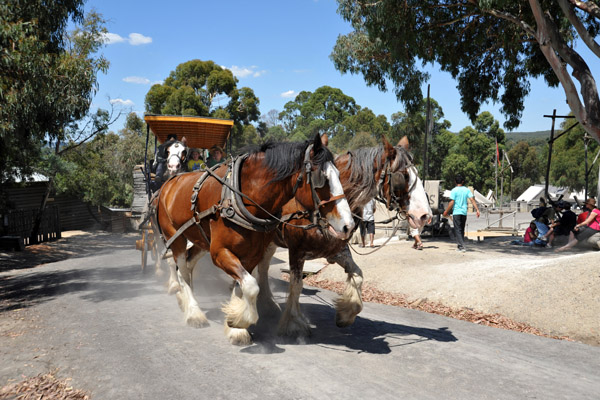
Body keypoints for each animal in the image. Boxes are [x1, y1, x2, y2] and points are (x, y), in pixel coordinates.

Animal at [152, 134, 356, 344]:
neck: (242, 197)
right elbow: (251, 285)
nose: (349, 225)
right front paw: (240, 322)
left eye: (339, 175)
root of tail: (169, 183)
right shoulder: (219, 252)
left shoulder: (251, 254)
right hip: (175, 237)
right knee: (182, 268)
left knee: (189, 262)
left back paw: (185, 300)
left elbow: (243, 286)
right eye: (322, 178)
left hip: (200, 239)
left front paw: (235, 322)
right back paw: (193, 312)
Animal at [253, 136, 432, 336]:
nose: (425, 215)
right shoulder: (296, 250)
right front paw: (294, 324)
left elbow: (358, 275)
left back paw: (267, 304)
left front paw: (346, 314)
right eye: (404, 176)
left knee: (263, 266)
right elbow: (296, 285)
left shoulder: (337, 250)